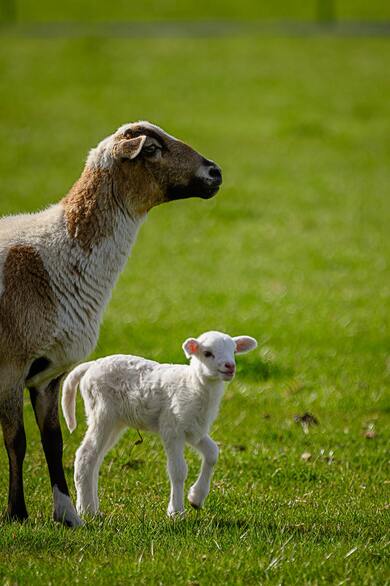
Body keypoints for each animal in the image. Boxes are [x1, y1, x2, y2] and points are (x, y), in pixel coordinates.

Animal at [0, 118, 222, 524]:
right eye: (151, 149)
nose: (215, 172)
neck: (53, 256)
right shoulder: (11, 365)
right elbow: (17, 440)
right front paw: (16, 513)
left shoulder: (48, 374)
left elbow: (53, 441)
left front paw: (67, 514)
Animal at [61, 328, 258, 516]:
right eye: (207, 353)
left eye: (234, 351)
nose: (230, 366)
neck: (194, 385)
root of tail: (91, 365)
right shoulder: (172, 426)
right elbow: (178, 470)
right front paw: (176, 512)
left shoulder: (194, 429)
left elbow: (212, 453)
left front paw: (196, 498)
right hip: (102, 412)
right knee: (85, 455)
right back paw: (86, 510)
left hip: (116, 422)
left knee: (96, 459)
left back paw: (93, 509)